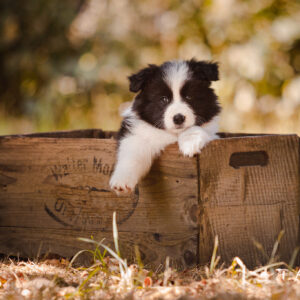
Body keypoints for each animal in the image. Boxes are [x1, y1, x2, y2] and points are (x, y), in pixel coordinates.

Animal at [109, 59, 220, 195]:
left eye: (189, 97)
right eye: (164, 99)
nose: (178, 118)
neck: (171, 134)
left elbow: (194, 128)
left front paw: (190, 143)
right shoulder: (136, 134)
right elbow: (131, 154)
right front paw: (122, 181)